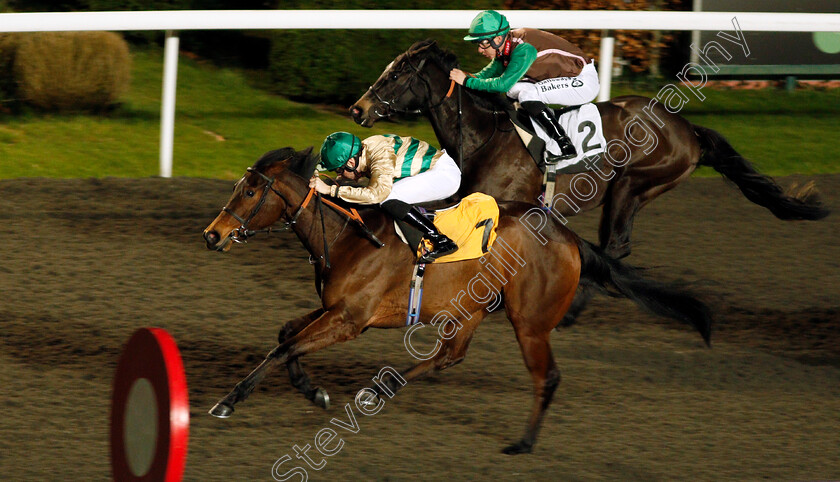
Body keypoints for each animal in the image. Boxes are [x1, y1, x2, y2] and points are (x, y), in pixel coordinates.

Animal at [200, 147, 712, 456]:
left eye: (249, 191)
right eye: (237, 186)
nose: (212, 235)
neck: (347, 237)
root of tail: (570, 238)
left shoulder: (350, 320)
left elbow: (284, 347)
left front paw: (228, 402)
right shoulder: (335, 310)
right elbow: (285, 335)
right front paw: (316, 391)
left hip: (529, 321)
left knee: (545, 377)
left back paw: (523, 443)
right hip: (472, 309)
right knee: (450, 355)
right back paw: (380, 389)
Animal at [346, 39, 828, 262]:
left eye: (396, 75)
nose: (357, 108)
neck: (484, 136)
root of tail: (687, 128)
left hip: (632, 182)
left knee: (614, 245)